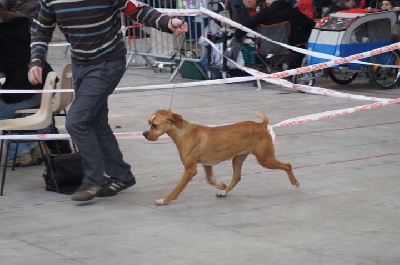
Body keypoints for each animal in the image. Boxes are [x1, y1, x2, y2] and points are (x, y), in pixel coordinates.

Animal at [142, 108, 298, 205]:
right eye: (149, 123)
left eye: (155, 126)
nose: (144, 134)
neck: (183, 132)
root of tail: (262, 125)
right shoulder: (206, 164)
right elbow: (210, 179)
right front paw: (220, 185)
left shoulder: (190, 169)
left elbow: (176, 188)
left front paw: (164, 200)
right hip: (238, 159)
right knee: (237, 177)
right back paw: (223, 192)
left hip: (265, 159)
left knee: (287, 165)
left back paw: (295, 182)